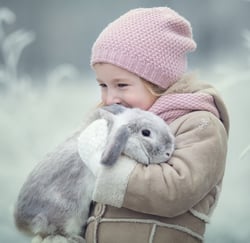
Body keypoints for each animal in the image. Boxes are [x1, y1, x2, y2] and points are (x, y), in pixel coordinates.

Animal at [13, 104, 174, 243]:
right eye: (146, 132)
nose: (168, 152)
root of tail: (22, 223)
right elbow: (132, 146)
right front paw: (143, 157)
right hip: (67, 214)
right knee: (57, 231)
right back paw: (76, 239)